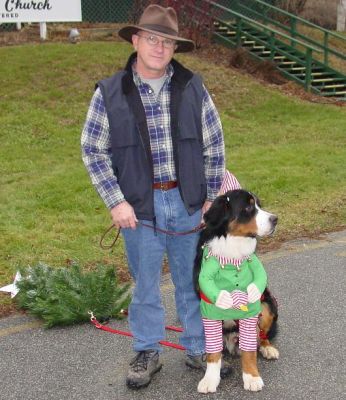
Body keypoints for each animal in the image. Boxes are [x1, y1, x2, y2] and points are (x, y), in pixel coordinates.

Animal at [193, 189, 280, 392]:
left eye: (259, 205)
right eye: (248, 207)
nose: (275, 219)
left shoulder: (251, 308)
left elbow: (249, 351)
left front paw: (251, 377)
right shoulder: (209, 311)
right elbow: (213, 352)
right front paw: (210, 379)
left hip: (268, 304)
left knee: (261, 336)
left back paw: (268, 348)